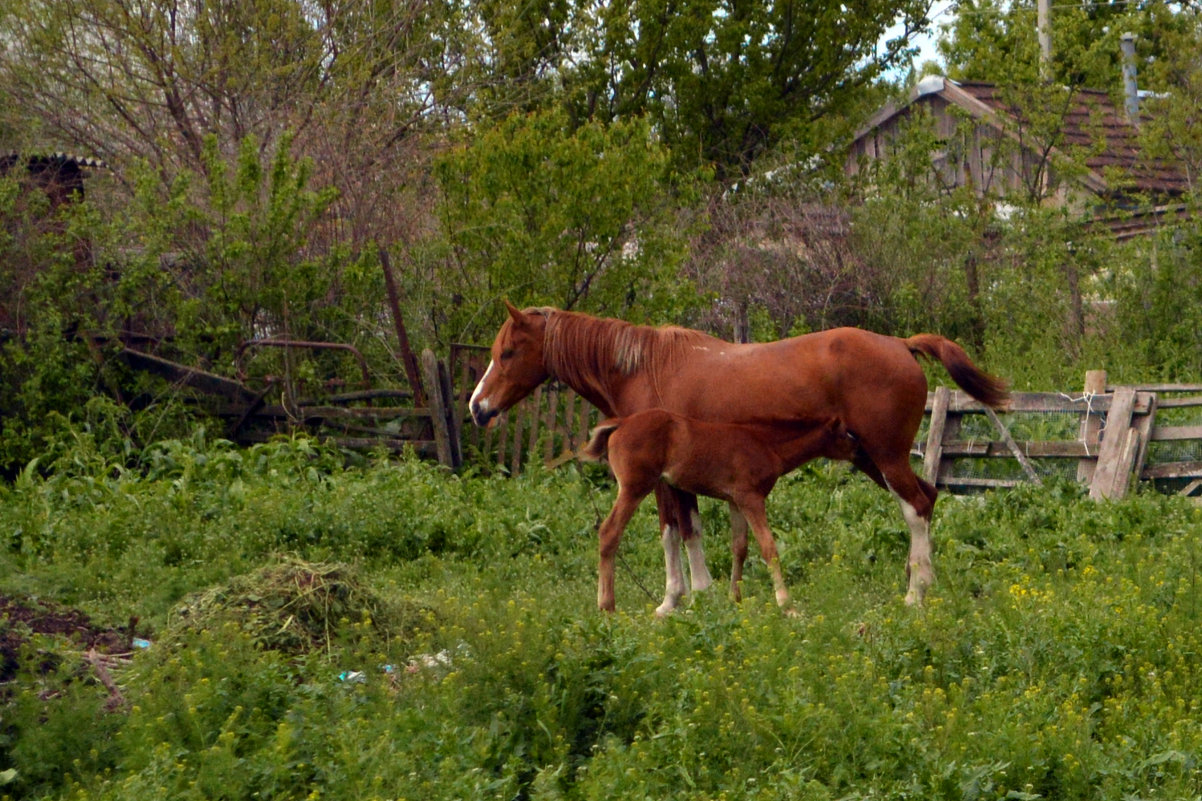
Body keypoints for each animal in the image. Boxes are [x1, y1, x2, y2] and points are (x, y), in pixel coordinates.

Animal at [579, 411, 855, 610]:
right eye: (844, 434)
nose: (858, 453)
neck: (766, 444)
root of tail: (621, 423)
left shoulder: (735, 501)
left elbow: (740, 547)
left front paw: (735, 599)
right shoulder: (751, 498)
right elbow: (769, 547)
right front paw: (787, 606)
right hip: (634, 487)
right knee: (609, 531)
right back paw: (607, 606)